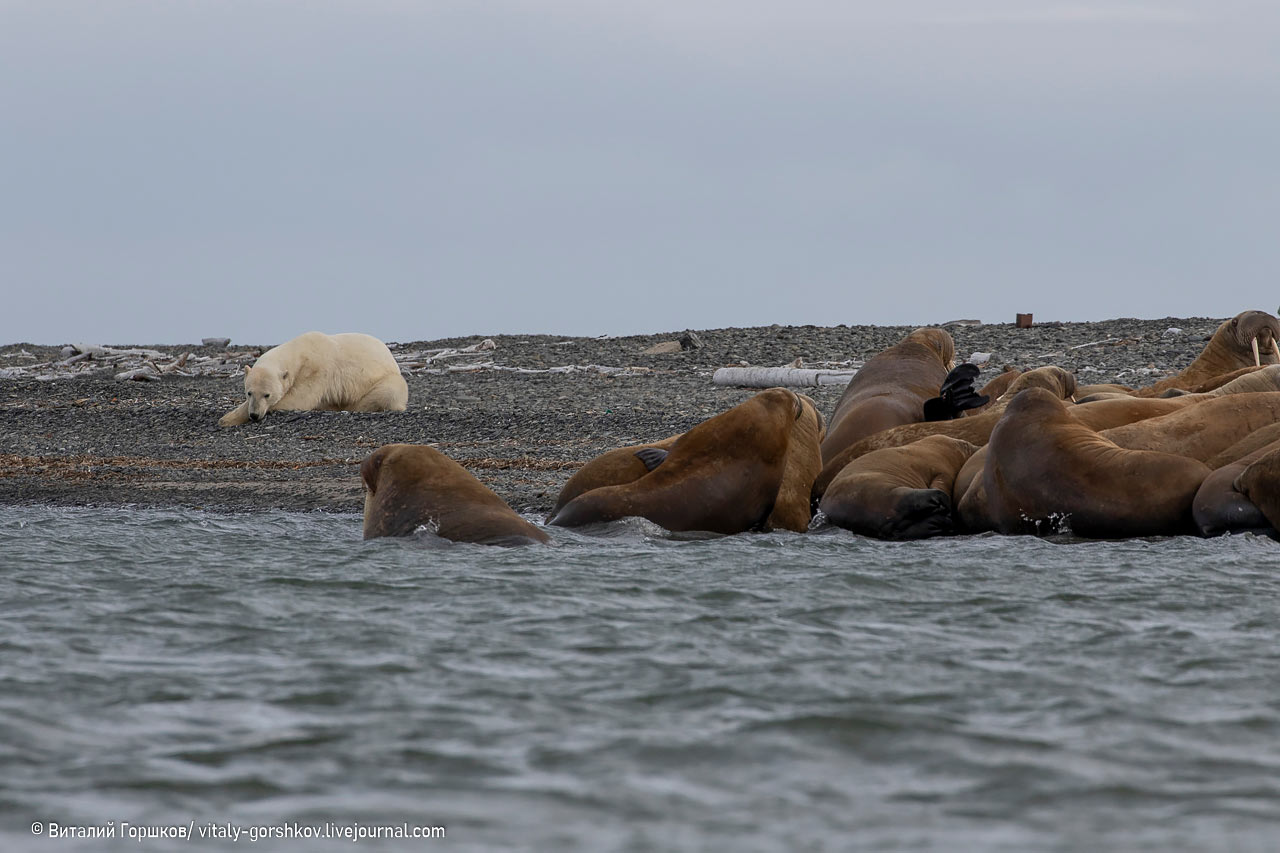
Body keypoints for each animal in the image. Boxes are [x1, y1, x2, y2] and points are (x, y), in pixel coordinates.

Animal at [215, 330, 404, 425]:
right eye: (249, 393)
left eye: (267, 395)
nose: (254, 414)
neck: (299, 351)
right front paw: (227, 418)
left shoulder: (317, 370)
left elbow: (299, 398)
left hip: (387, 378)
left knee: (387, 392)